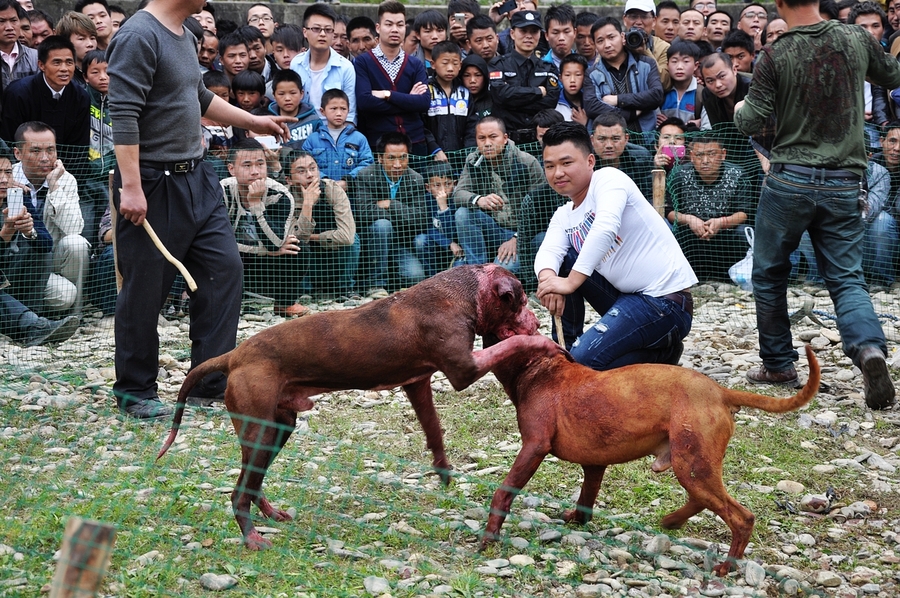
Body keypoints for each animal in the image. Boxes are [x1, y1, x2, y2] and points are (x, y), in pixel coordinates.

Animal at [156, 268, 564, 552]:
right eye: (522, 300)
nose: (538, 319)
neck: (461, 291)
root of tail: (233, 355)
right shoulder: (464, 369)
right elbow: (509, 347)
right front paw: (544, 344)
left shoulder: (417, 383)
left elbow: (433, 429)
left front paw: (443, 469)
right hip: (259, 427)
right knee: (239, 492)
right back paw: (252, 537)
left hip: (279, 425)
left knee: (252, 483)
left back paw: (270, 514)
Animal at [482, 340, 820, 580]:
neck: (542, 371)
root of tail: (720, 391)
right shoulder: (594, 464)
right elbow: (586, 498)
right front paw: (577, 519)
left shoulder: (533, 448)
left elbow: (505, 491)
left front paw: (490, 535)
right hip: (694, 467)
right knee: (703, 499)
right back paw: (672, 521)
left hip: (692, 467)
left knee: (741, 517)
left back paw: (726, 566)